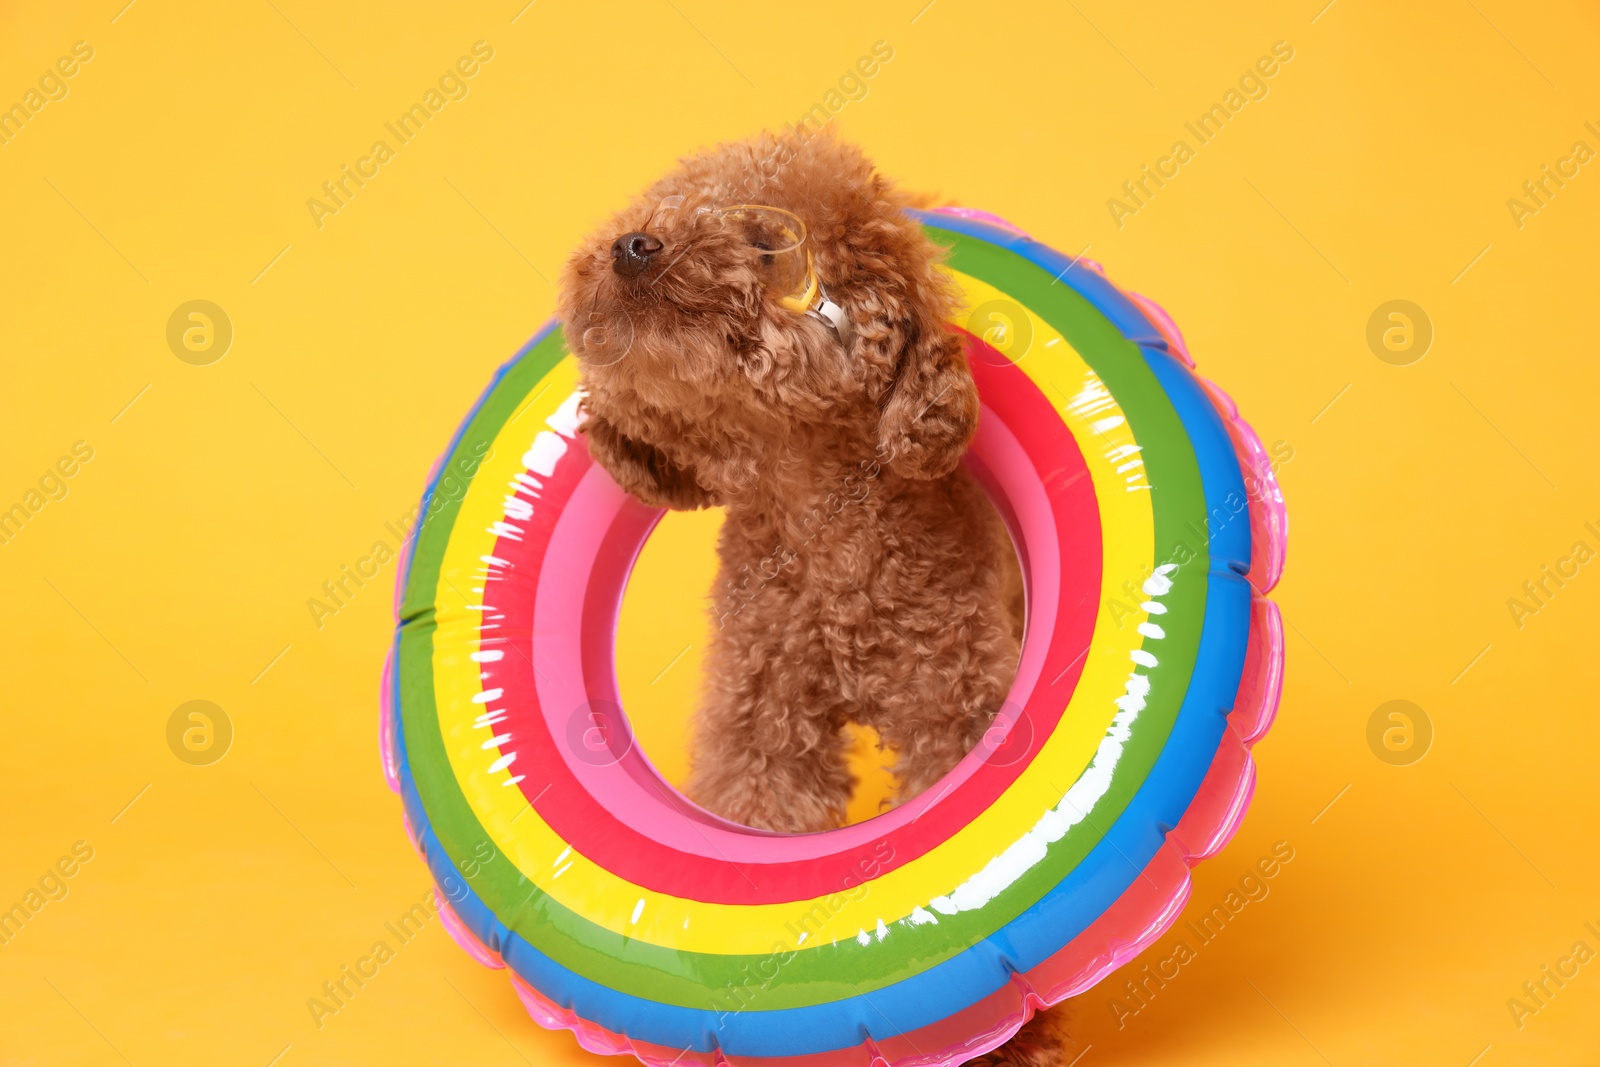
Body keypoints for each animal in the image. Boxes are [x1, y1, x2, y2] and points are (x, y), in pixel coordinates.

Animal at [563, 129, 1075, 1062]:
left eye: (770, 245)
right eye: (672, 207)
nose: (634, 246)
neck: (825, 526)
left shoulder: (954, 707)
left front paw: (1014, 1037)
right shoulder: (763, 717)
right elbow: (762, 808)